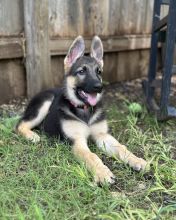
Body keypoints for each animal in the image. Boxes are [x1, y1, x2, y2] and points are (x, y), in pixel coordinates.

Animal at [16, 35, 147, 184]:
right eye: (82, 71)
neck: (85, 110)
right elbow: (91, 156)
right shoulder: (77, 141)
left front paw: (136, 160)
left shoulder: (102, 135)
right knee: (20, 124)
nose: (99, 87)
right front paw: (102, 172)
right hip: (45, 103)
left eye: (99, 72)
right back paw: (31, 135)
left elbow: (121, 148)